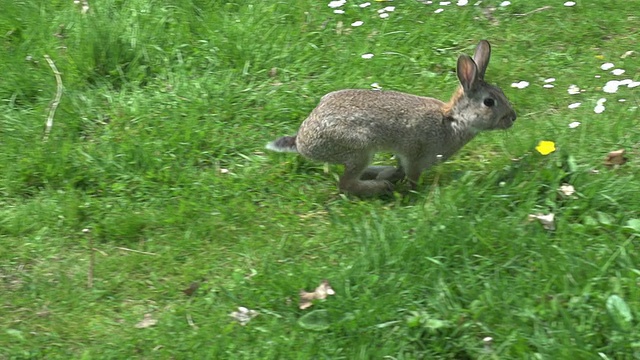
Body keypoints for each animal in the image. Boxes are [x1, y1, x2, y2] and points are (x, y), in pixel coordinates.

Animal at [264, 40, 516, 195]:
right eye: (489, 102)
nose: (513, 117)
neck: (453, 119)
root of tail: (302, 142)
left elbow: (399, 169)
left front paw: (392, 176)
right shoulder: (415, 156)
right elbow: (412, 176)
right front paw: (411, 191)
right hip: (358, 148)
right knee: (346, 184)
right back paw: (381, 187)